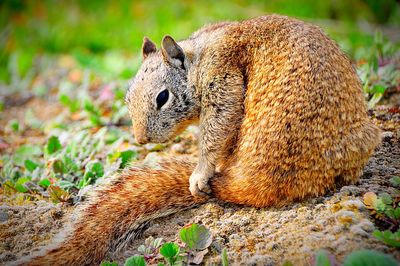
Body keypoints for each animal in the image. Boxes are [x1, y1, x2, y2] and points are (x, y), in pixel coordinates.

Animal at [21, 15, 382, 266]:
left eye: (163, 97)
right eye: (126, 97)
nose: (140, 139)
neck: (198, 53)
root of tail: (254, 182)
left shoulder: (221, 77)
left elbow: (218, 126)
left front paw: (200, 172)